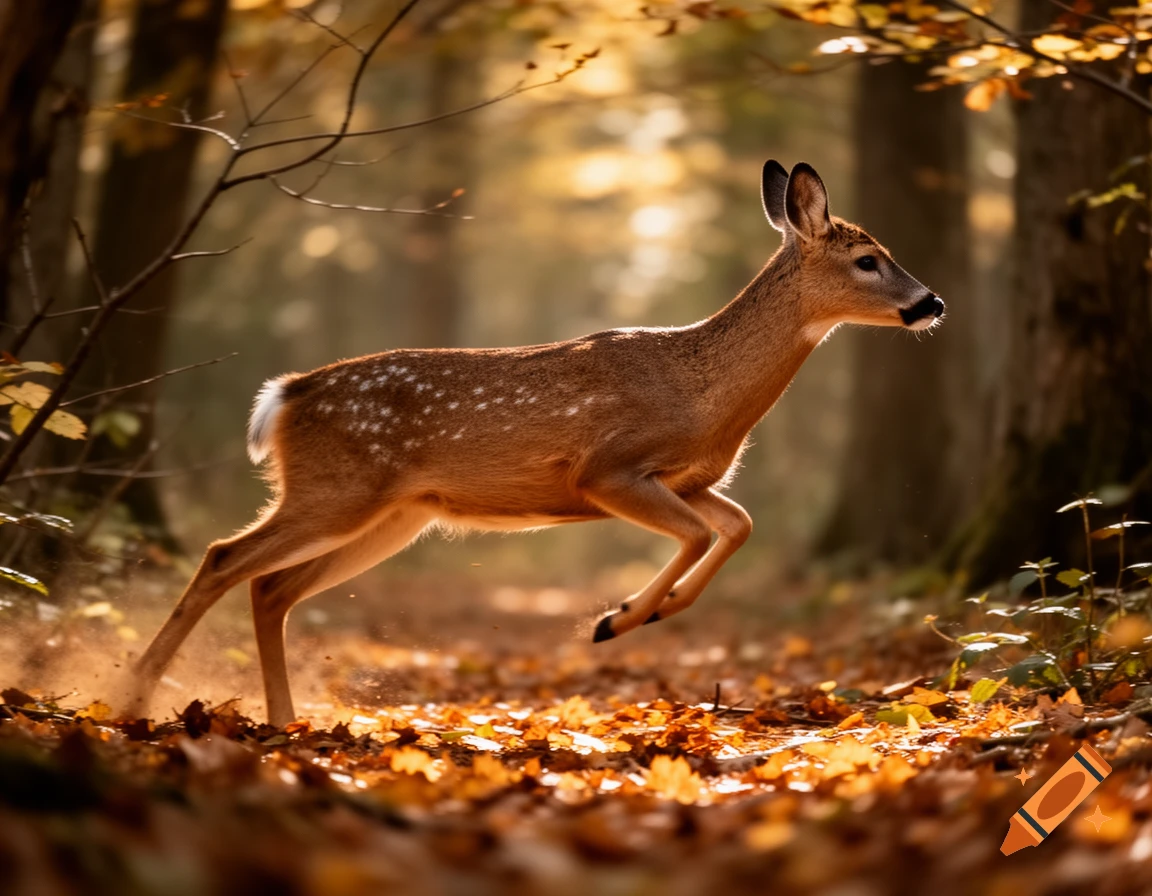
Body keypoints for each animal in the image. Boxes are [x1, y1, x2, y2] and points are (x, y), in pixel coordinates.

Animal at [128, 160, 944, 727]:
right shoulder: (606, 471)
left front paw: (643, 611)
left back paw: (282, 720)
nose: (932, 302)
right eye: (869, 259)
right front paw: (616, 619)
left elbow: (737, 525)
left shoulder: (692, 479)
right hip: (338, 489)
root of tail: (284, 396)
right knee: (224, 557)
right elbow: (692, 535)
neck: (701, 390)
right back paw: (136, 696)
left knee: (272, 588)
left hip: (394, 516)